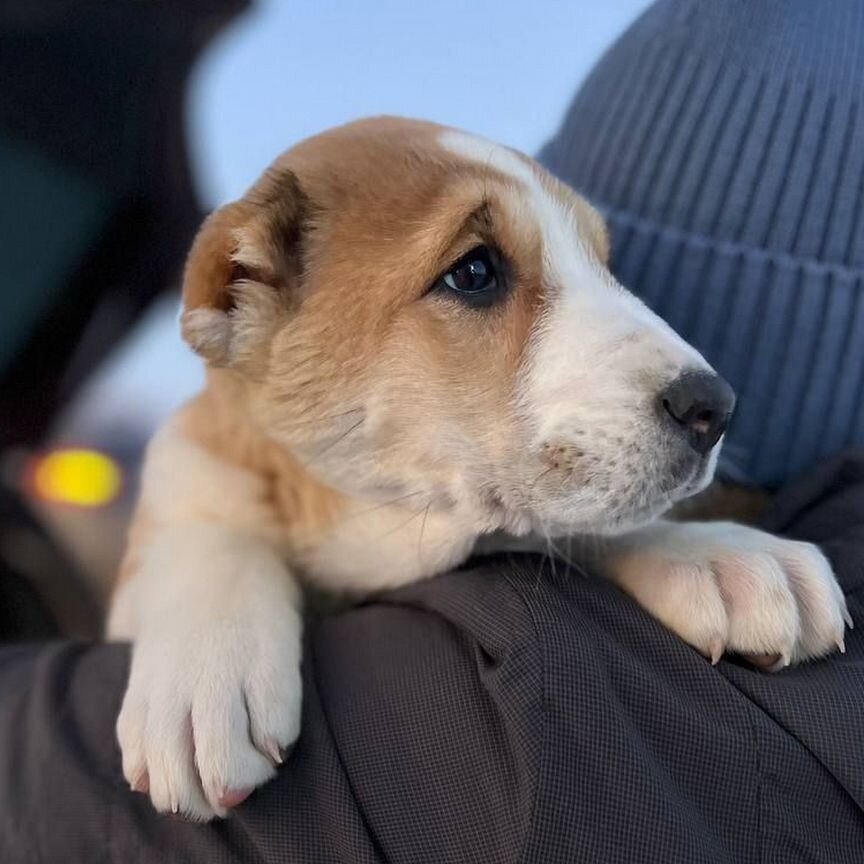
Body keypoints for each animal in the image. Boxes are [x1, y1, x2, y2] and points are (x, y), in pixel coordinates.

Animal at [108, 118, 852, 820]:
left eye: (605, 266)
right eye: (473, 273)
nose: (714, 407)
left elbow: (574, 525)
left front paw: (721, 553)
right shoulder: (187, 474)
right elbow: (209, 531)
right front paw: (203, 669)